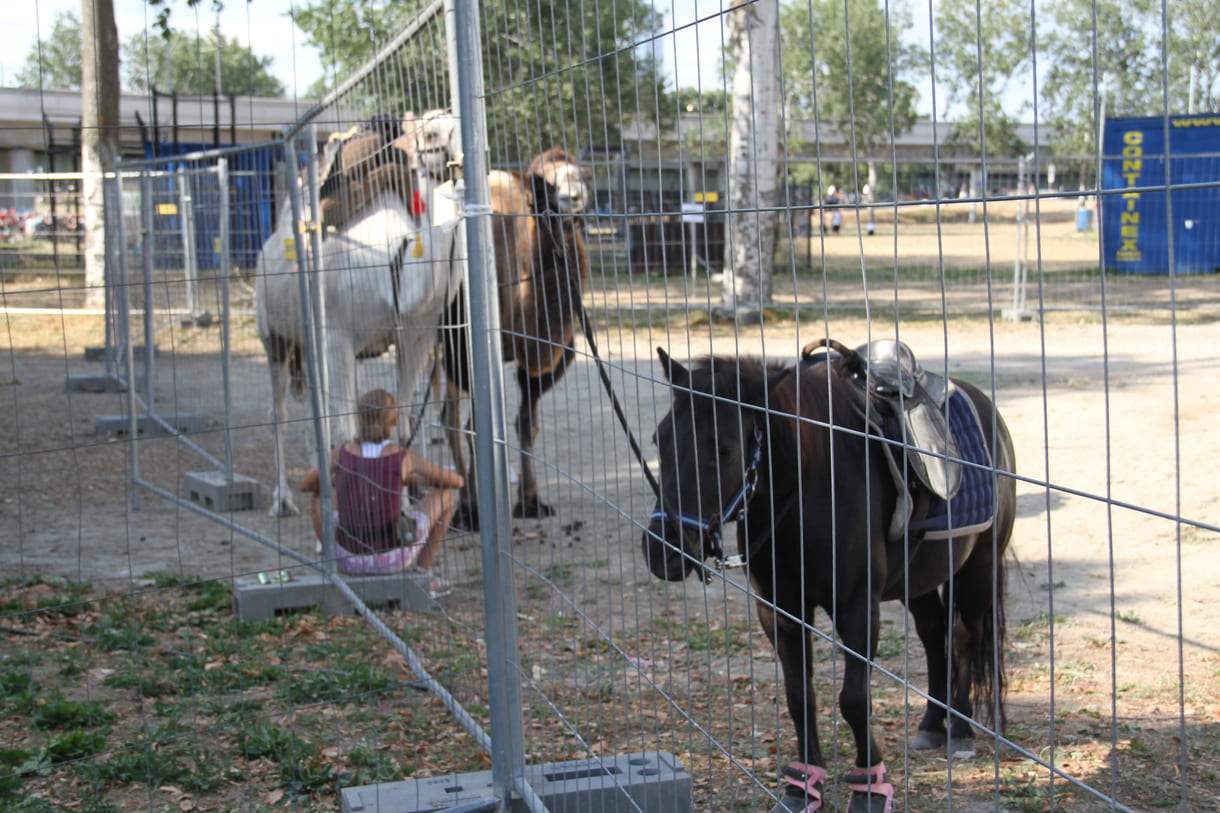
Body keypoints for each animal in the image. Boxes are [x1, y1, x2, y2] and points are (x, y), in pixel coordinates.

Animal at [256, 111, 461, 512]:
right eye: (431, 133)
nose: (456, 161)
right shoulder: (338, 337)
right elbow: (348, 430)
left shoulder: (415, 336)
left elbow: (401, 423)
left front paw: (403, 507)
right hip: (273, 336)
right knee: (279, 414)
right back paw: (282, 498)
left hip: (310, 345)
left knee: (315, 410)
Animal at [439, 148, 590, 522]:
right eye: (541, 182)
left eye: (585, 174)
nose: (573, 195)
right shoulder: (467, 352)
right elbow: (474, 426)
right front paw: (475, 509)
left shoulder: (546, 357)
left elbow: (527, 425)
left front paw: (531, 501)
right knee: (447, 418)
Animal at [644, 346, 1015, 810]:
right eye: (660, 439)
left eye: (725, 449)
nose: (662, 549)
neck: (812, 484)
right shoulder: (781, 610)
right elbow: (799, 697)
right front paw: (802, 785)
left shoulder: (857, 607)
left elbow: (854, 700)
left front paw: (871, 787)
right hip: (919, 581)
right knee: (934, 634)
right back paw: (932, 723)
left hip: (977, 568)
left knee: (965, 636)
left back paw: (961, 729)